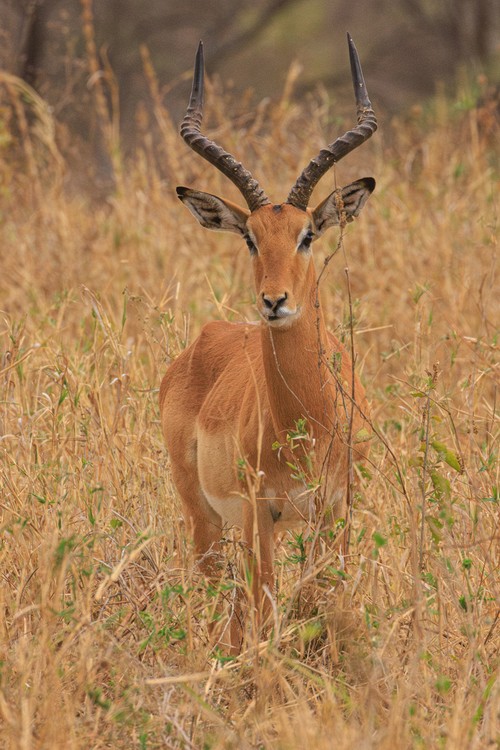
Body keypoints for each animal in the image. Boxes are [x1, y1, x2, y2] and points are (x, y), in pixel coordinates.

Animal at [160, 34, 376, 646]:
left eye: (307, 235)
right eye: (250, 239)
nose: (274, 302)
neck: (308, 417)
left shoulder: (336, 509)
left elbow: (328, 599)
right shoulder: (262, 512)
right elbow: (268, 606)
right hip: (206, 517)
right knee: (221, 592)